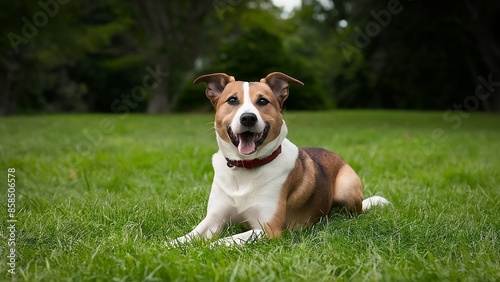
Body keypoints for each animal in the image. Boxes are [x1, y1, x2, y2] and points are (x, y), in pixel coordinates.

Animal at [172, 71, 390, 246]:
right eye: (232, 100)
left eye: (263, 101)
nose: (248, 118)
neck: (245, 167)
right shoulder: (213, 219)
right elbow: (188, 236)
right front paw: (168, 246)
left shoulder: (268, 229)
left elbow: (226, 240)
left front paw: (205, 248)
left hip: (347, 188)